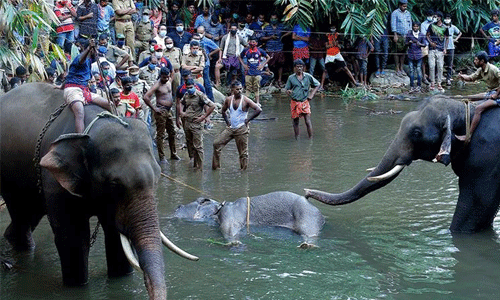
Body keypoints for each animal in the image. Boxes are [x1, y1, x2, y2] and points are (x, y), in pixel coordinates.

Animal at [0, 82, 196, 300]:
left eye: (158, 177)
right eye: (114, 184)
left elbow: (115, 235)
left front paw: (120, 278)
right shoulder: (54, 179)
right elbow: (74, 238)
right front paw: (77, 286)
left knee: (28, 215)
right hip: (9, 176)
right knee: (21, 213)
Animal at [174, 191, 326, 247]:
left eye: (181, 206)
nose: (177, 206)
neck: (218, 209)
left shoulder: (230, 215)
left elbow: (229, 229)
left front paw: (234, 243)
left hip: (307, 217)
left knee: (309, 233)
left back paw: (307, 245)